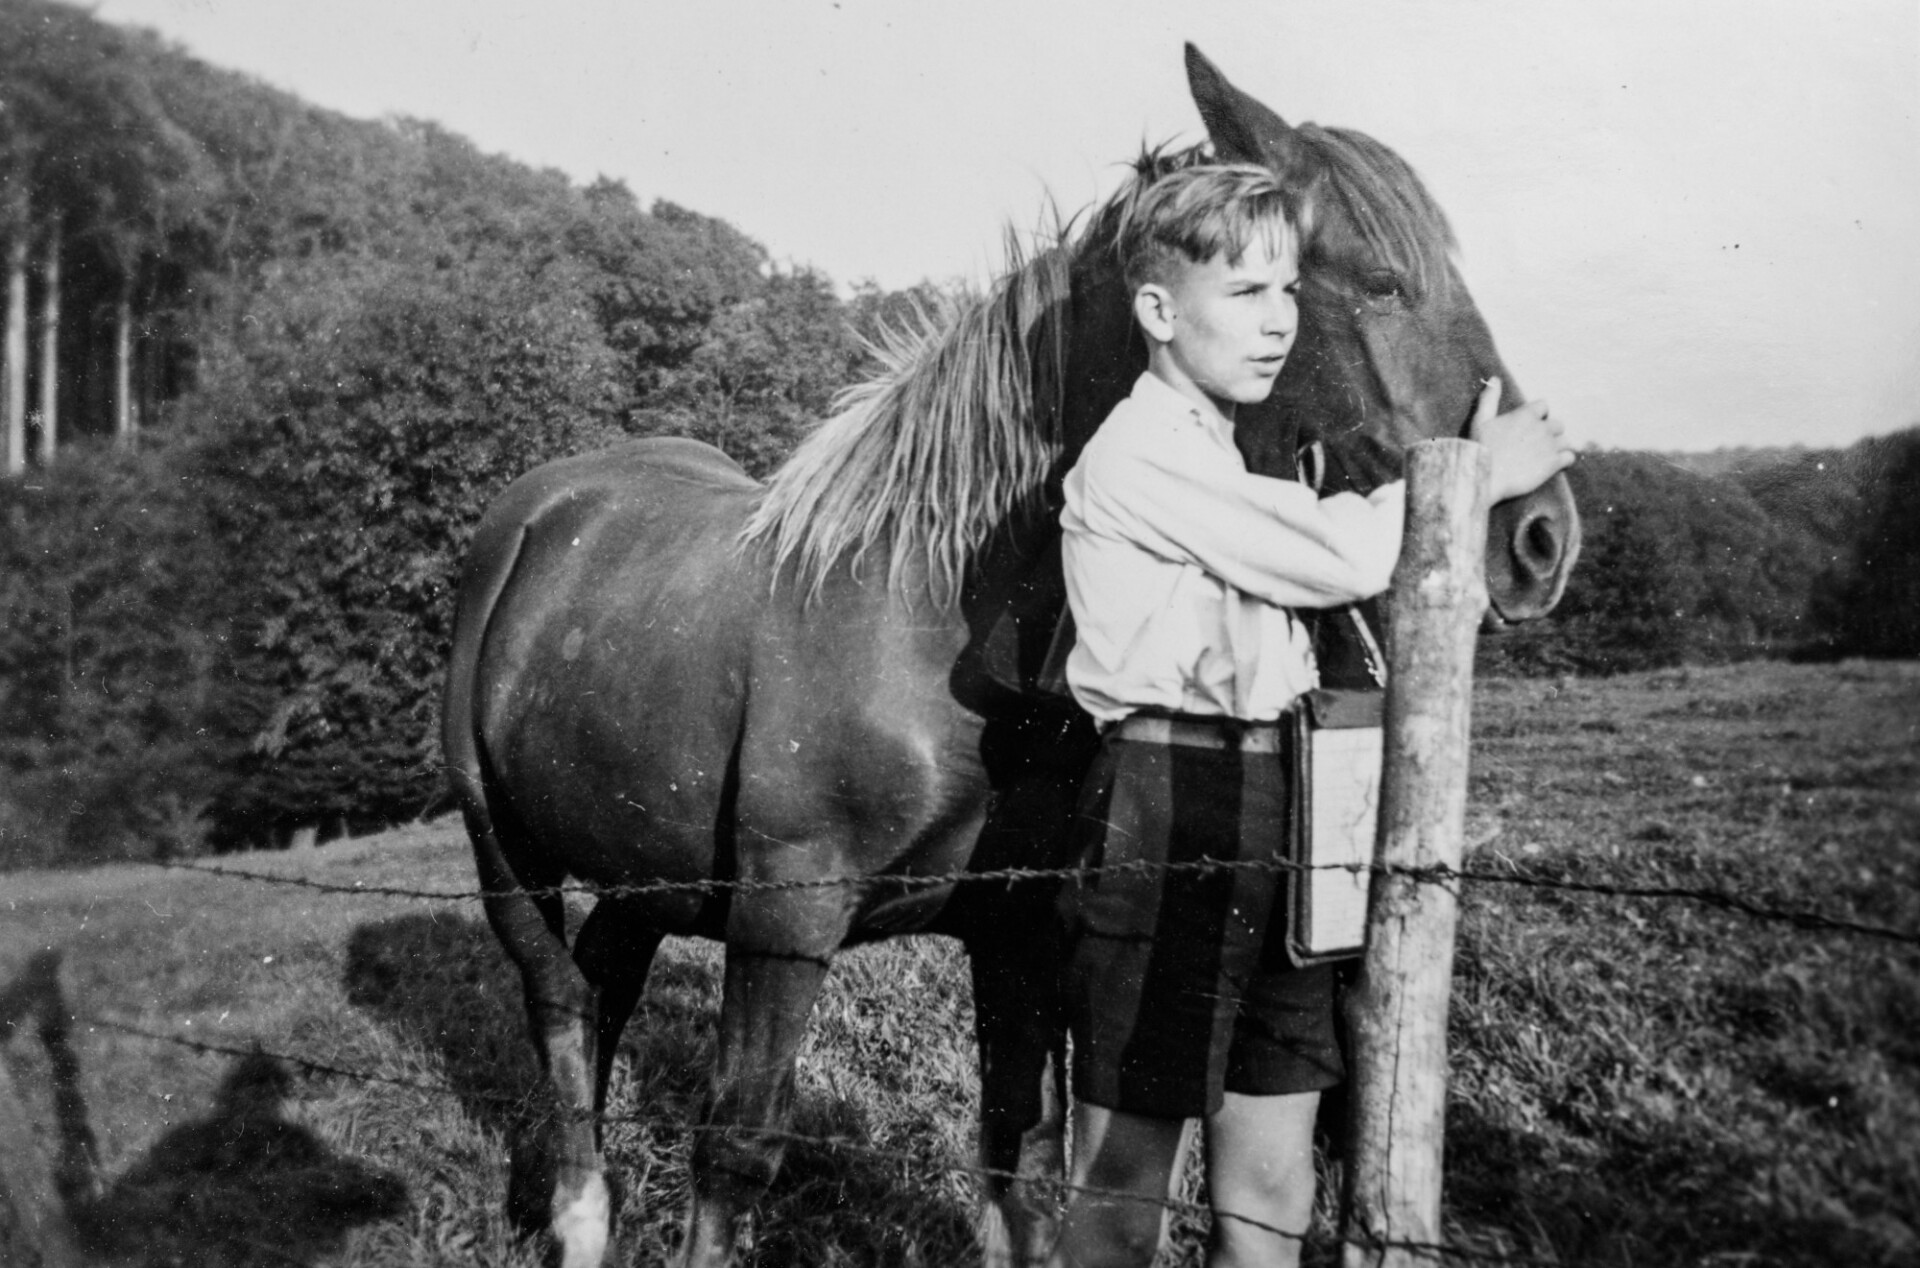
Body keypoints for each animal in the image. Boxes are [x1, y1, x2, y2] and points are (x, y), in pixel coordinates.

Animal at [441, 44, 1582, 1268]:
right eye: (1377, 278)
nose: (1540, 537)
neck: (933, 609)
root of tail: (540, 509)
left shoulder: (1016, 929)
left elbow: (1022, 1156)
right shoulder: (783, 922)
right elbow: (737, 1148)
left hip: (646, 869)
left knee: (602, 982)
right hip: (508, 858)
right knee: (560, 1006)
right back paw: (578, 1213)